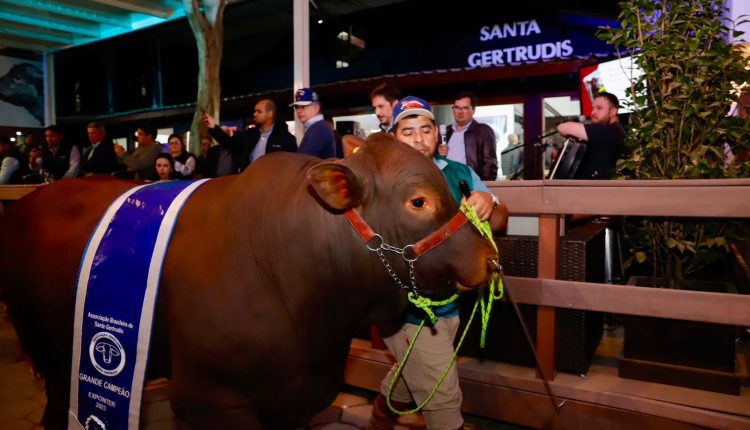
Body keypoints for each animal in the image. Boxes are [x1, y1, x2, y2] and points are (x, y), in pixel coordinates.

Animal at [0, 133, 500, 428]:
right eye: (418, 201)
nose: (489, 258)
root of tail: (29, 201)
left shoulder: (299, 398)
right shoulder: (211, 399)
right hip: (43, 343)